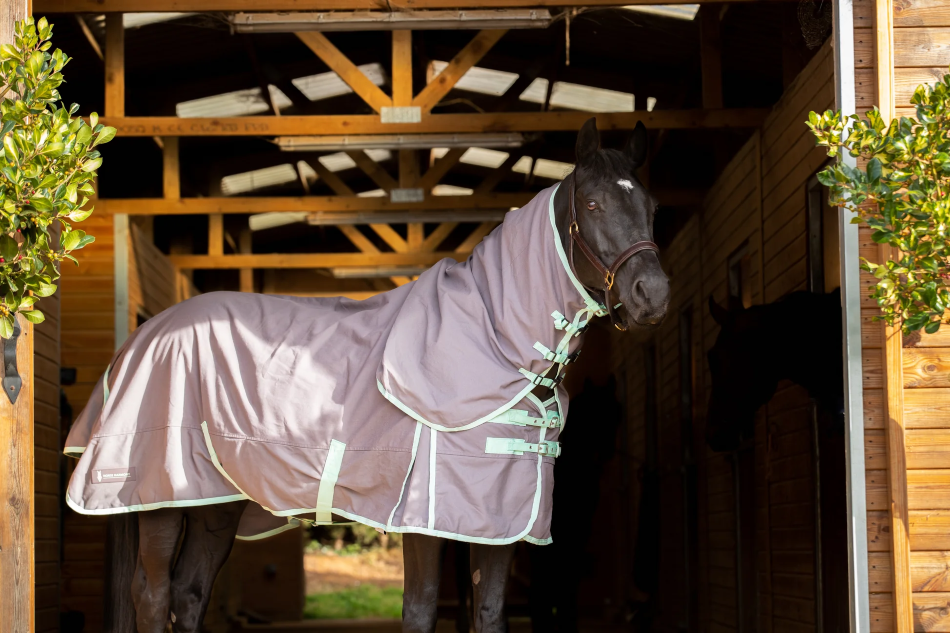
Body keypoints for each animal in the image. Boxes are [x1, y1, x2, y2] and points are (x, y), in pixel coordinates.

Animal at [69, 117, 670, 633]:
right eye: (592, 202)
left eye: (651, 205)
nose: (653, 295)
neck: (494, 340)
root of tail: (140, 340)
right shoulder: (424, 520)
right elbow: (421, 611)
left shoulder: (499, 522)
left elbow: (490, 615)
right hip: (161, 499)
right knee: (152, 598)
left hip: (212, 503)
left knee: (189, 596)